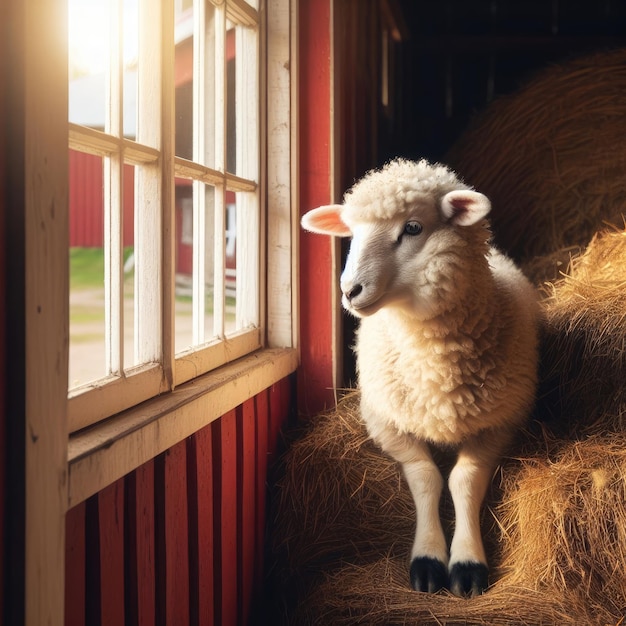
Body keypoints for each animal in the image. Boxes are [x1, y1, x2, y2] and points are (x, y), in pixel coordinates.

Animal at [298, 156, 536, 596]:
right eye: (351, 233)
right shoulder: (387, 422)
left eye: (412, 228)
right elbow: (427, 478)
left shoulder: (500, 423)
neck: (436, 374)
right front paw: (428, 559)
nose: (349, 290)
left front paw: (467, 564)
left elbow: (463, 479)